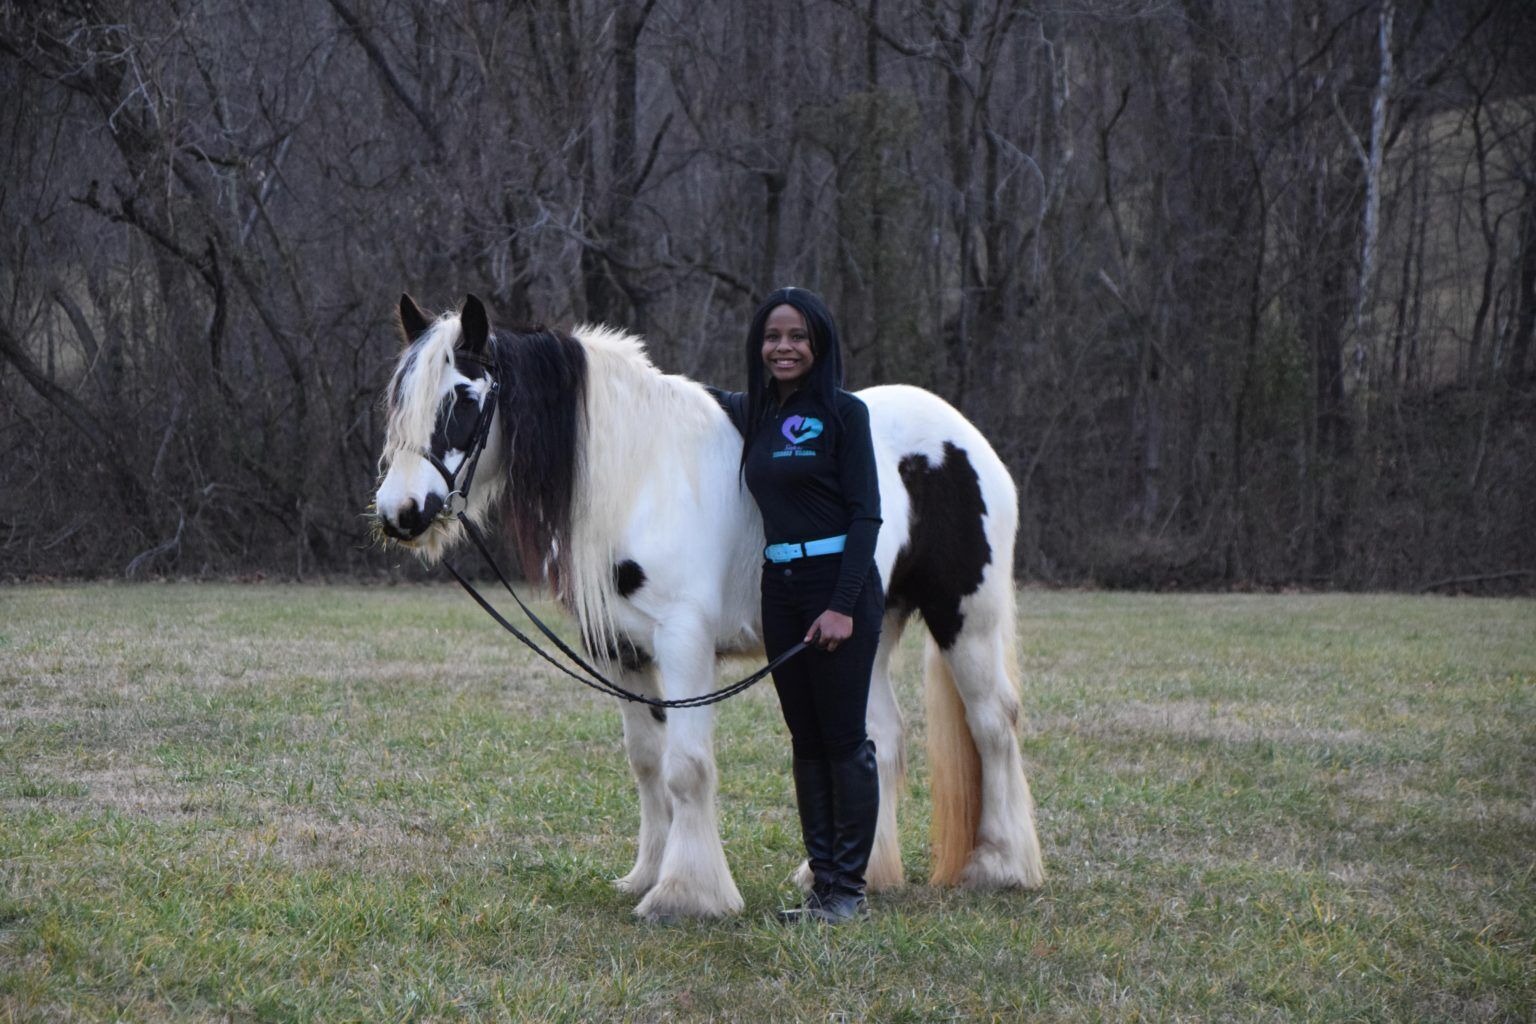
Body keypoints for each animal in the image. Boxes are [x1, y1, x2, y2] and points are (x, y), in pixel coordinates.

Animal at [371, 294, 1044, 920]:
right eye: (399, 401)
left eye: (462, 400)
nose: (400, 513)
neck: (639, 477)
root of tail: (964, 437)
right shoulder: (621, 651)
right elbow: (648, 763)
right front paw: (647, 874)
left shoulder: (683, 643)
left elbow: (686, 766)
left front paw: (686, 895)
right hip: (861, 634)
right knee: (877, 736)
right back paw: (857, 875)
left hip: (966, 617)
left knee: (993, 722)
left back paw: (1000, 866)